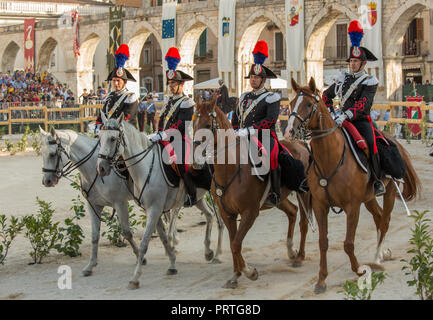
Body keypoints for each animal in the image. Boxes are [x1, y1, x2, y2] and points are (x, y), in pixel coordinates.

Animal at [96, 113, 221, 290]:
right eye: (99, 138)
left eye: (113, 139)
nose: (101, 168)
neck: (146, 167)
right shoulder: (153, 210)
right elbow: (163, 238)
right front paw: (172, 264)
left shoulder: (155, 210)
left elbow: (144, 244)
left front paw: (135, 278)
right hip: (198, 198)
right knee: (210, 216)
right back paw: (208, 251)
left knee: (222, 222)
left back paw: (218, 254)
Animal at [194, 96, 312, 288]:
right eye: (193, 123)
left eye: (207, 123)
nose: (196, 158)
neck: (231, 169)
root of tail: (300, 143)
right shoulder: (227, 214)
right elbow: (233, 243)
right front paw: (236, 275)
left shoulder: (250, 212)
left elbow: (236, 243)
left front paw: (249, 272)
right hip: (279, 199)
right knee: (293, 212)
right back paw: (291, 251)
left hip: (304, 192)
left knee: (304, 222)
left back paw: (299, 257)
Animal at [286, 77, 420, 292]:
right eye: (291, 103)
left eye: (307, 104)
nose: (289, 130)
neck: (331, 158)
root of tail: (393, 141)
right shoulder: (320, 206)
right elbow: (323, 242)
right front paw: (321, 280)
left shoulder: (352, 207)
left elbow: (348, 243)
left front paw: (359, 270)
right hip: (369, 198)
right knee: (378, 217)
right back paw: (381, 254)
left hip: (389, 193)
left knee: (385, 221)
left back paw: (377, 258)